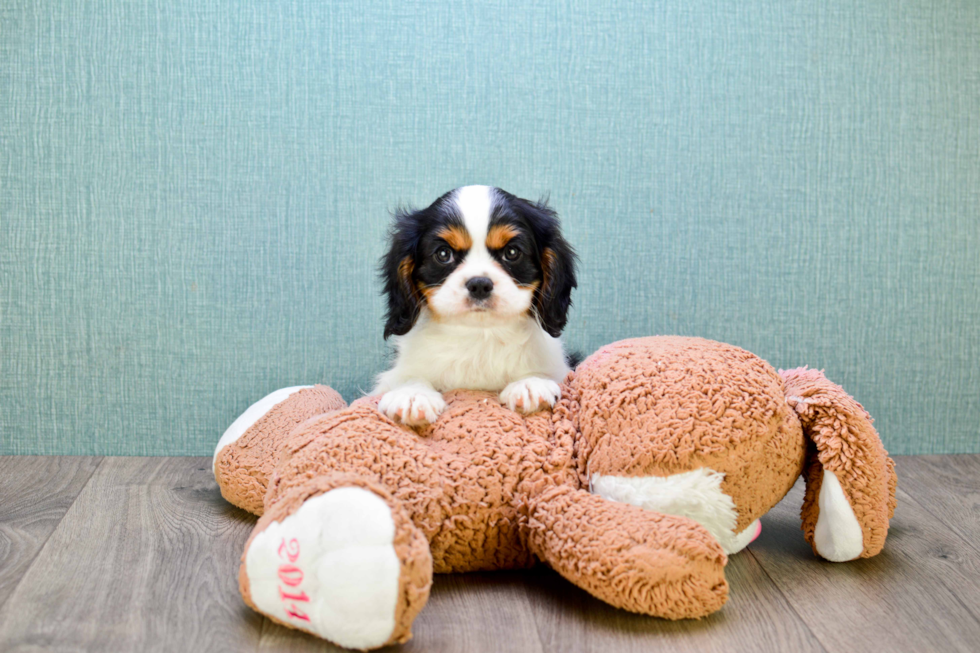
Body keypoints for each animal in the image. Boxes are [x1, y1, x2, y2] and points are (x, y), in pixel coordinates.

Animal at [374, 186, 576, 426]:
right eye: (443, 254)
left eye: (512, 252)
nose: (479, 284)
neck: (479, 334)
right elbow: (409, 376)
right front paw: (412, 394)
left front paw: (530, 382)